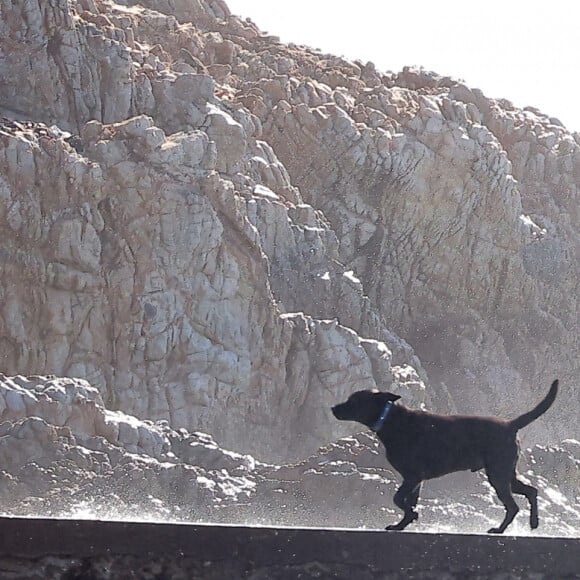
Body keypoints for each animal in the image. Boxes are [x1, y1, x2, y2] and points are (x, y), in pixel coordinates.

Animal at [334, 380, 560, 536]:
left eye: (354, 401)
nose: (333, 408)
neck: (391, 419)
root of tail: (510, 424)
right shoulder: (416, 480)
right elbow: (409, 502)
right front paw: (402, 524)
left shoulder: (413, 477)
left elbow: (398, 498)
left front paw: (411, 516)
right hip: (506, 474)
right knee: (531, 491)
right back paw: (533, 522)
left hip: (498, 475)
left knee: (513, 506)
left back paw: (499, 529)